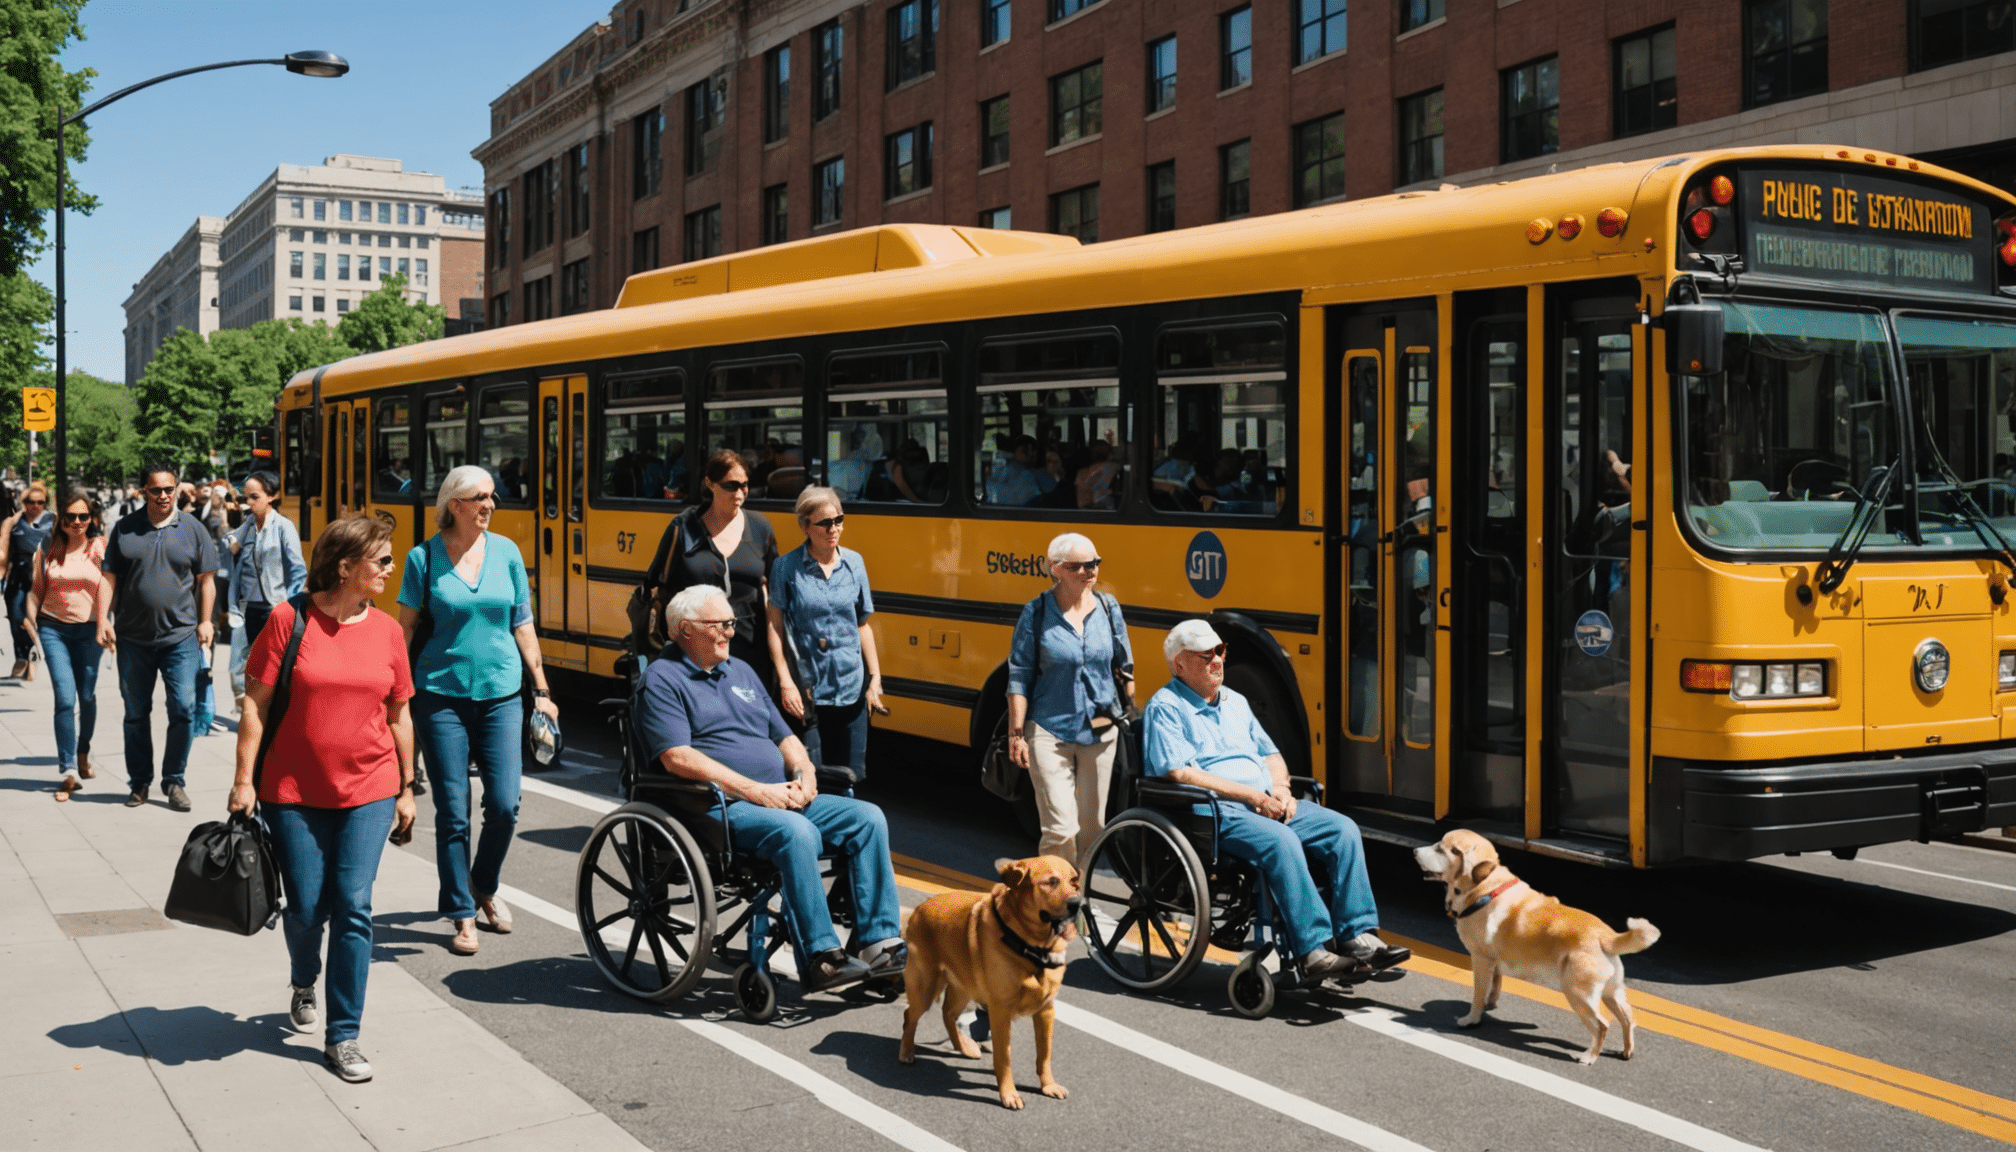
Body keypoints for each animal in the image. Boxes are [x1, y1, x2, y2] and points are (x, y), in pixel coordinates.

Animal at [903, 855, 1080, 1105]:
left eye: (1074, 882)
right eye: (1051, 881)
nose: (1077, 903)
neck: (1033, 948)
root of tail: (920, 907)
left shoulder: (1046, 1010)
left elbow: (1044, 1054)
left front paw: (1048, 1085)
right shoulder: (1000, 1011)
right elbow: (1004, 1058)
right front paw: (1009, 1093)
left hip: (962, 988)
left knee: (947, 1014)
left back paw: (963, 1047)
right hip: (925, 987)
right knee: (909, 1016)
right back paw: (906, 1052)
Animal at [1411, 831, 1661, 1065]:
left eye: (1442, 849)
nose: (1414, 851)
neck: (1485, 888)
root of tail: (1606, 936)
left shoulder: (1480, 959)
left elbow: (1477, 995)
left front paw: (1472, 1019)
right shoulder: (1494, 961)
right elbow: (1495, 984)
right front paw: (1490, 1004)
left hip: (1578, 993)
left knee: (1602, 1025)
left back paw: (1588, 1057)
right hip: (1611, 992)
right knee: (1628, 1019)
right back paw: (1627, 1051)